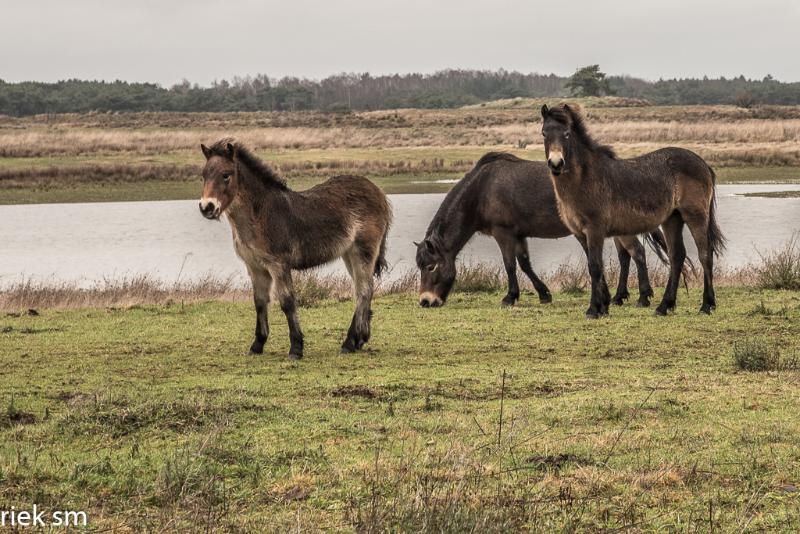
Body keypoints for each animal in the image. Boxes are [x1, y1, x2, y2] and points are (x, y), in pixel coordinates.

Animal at [197, 140, 390, 362]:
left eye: (226, 175)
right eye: (204, 175)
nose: (207, 207)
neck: (260, 215)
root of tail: (378, 192)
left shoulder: (278, 265)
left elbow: (287, 302)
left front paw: (296, 348)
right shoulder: (255, 267)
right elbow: (260, 302)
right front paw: (257, 344)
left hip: (363, 251)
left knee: (363, 291)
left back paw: (349, 342)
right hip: (349, 254)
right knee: (364, 289)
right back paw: (360, 339)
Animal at [416, 153, 664, 308]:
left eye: (430, 266)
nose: (426, 301)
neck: (481, 190)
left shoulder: (503, 233)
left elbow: (510, 265)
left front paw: (510, 297)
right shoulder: (519, 235)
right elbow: (525, 264)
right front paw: (544, 294)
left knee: (638, 253)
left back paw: (644, 297)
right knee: (625, 257)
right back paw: (619, 297)